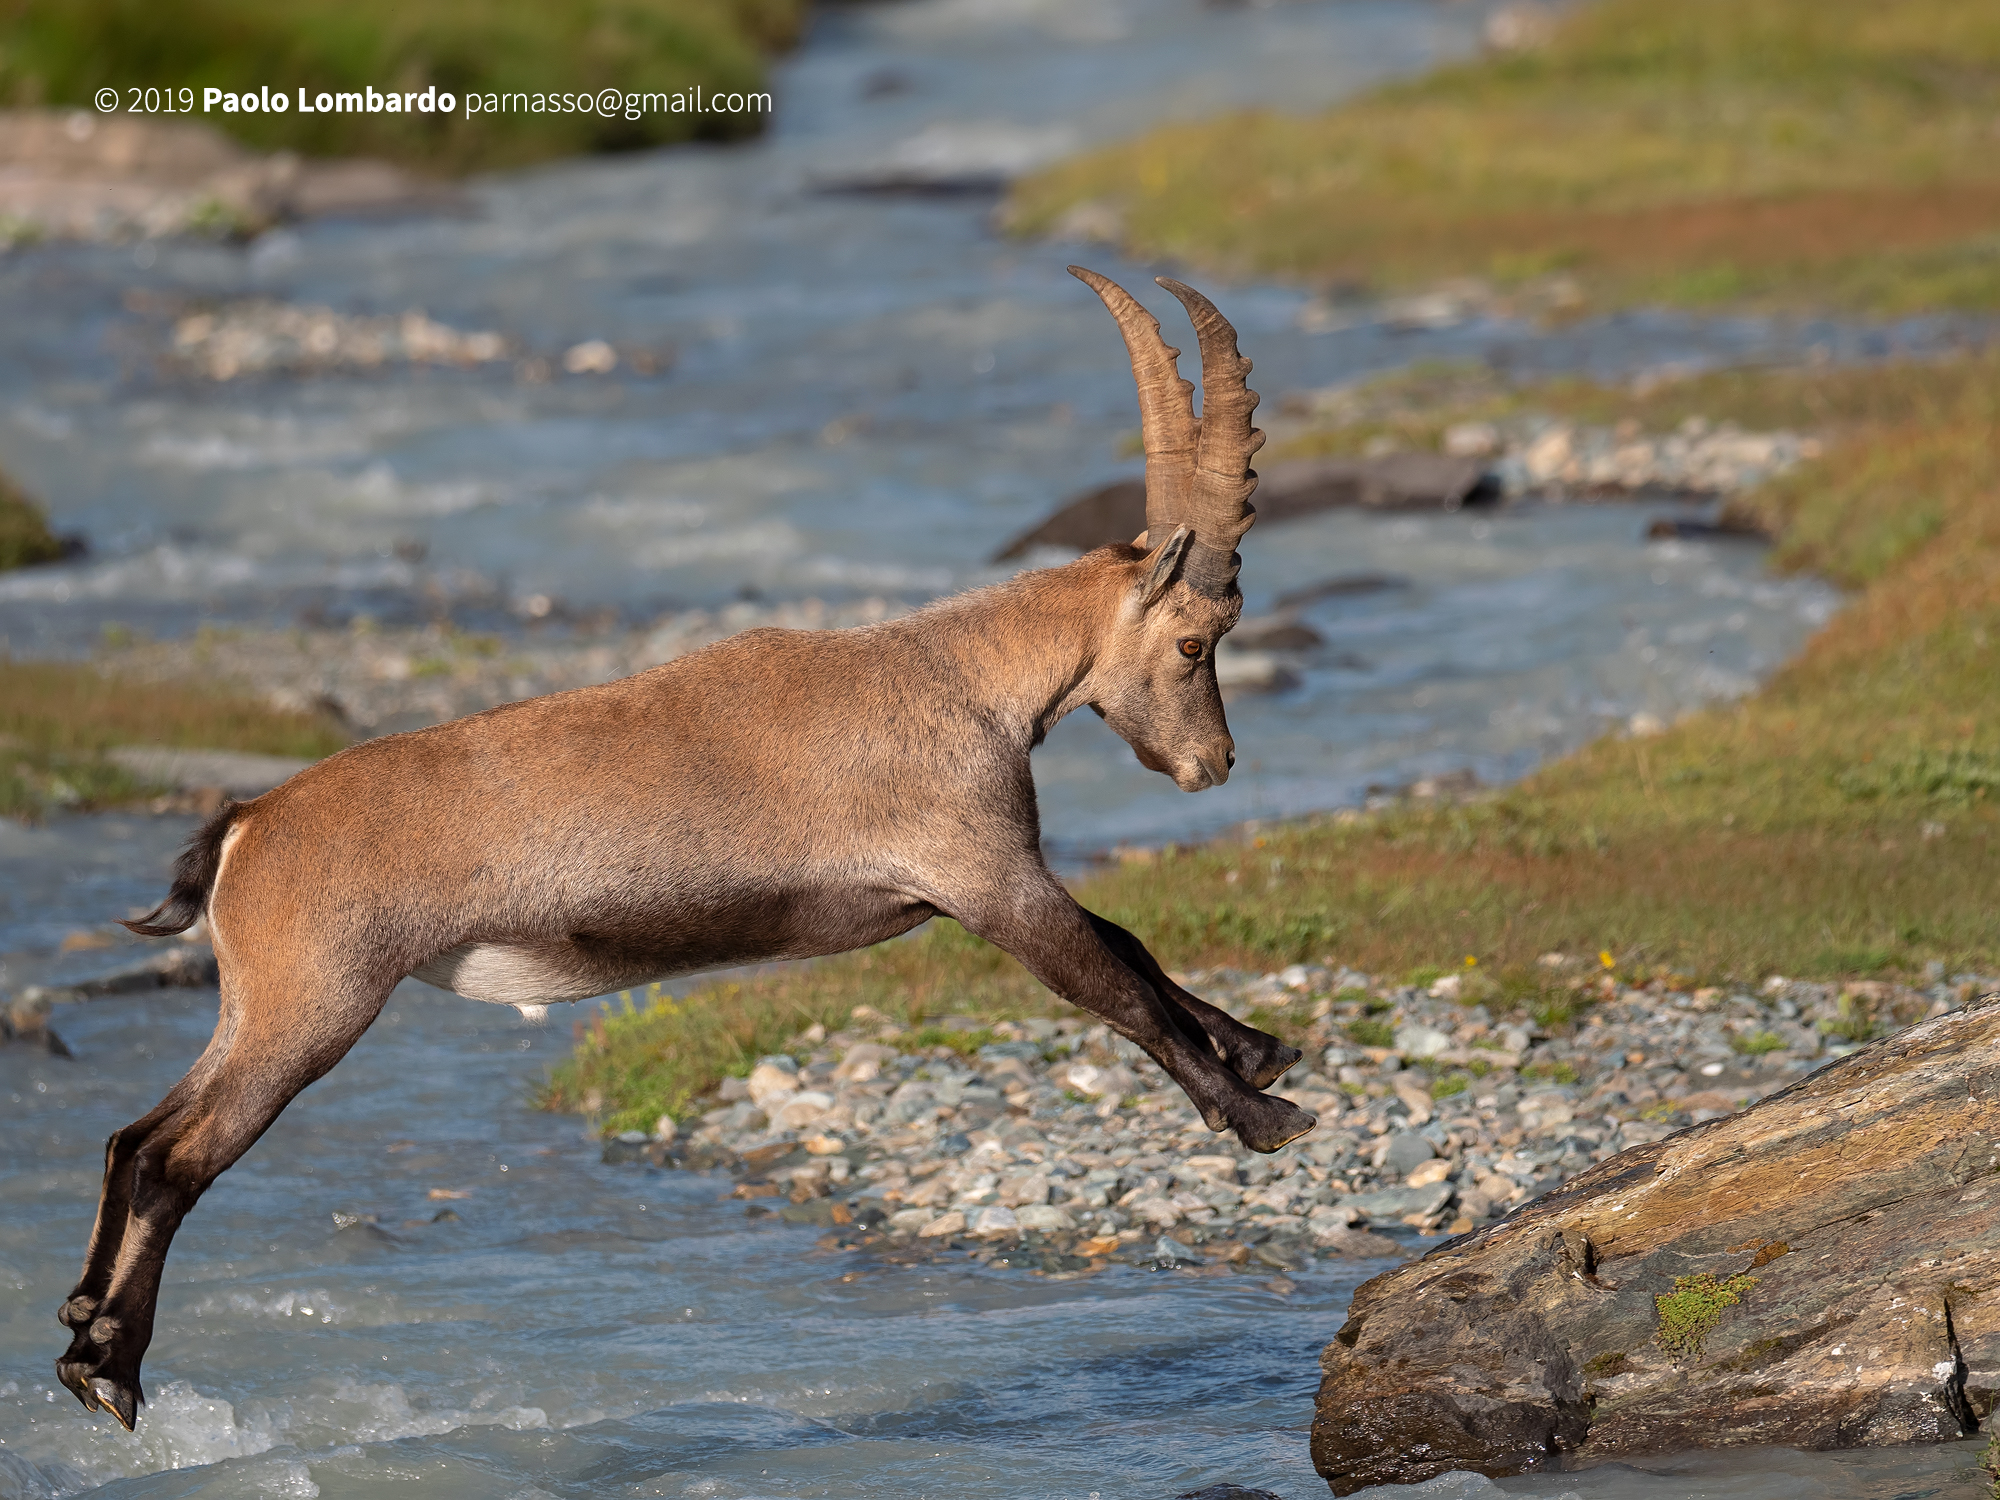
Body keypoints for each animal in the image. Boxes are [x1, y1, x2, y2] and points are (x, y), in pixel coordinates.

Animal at [56, 268, 1316, 1430]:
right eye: (1196, 640)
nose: (1213, 763)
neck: (962, 680)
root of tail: (248, 824)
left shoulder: (982, 881)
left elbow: (1129, 946)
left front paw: (1261, 1050)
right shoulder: (982, 874)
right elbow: (1112, 978)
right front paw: (1266, 1117)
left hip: (259, 1003)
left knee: (132, 1136)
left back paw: (84, 1344)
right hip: (313, 1001)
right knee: (175, 1155)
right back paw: (109, 1367)